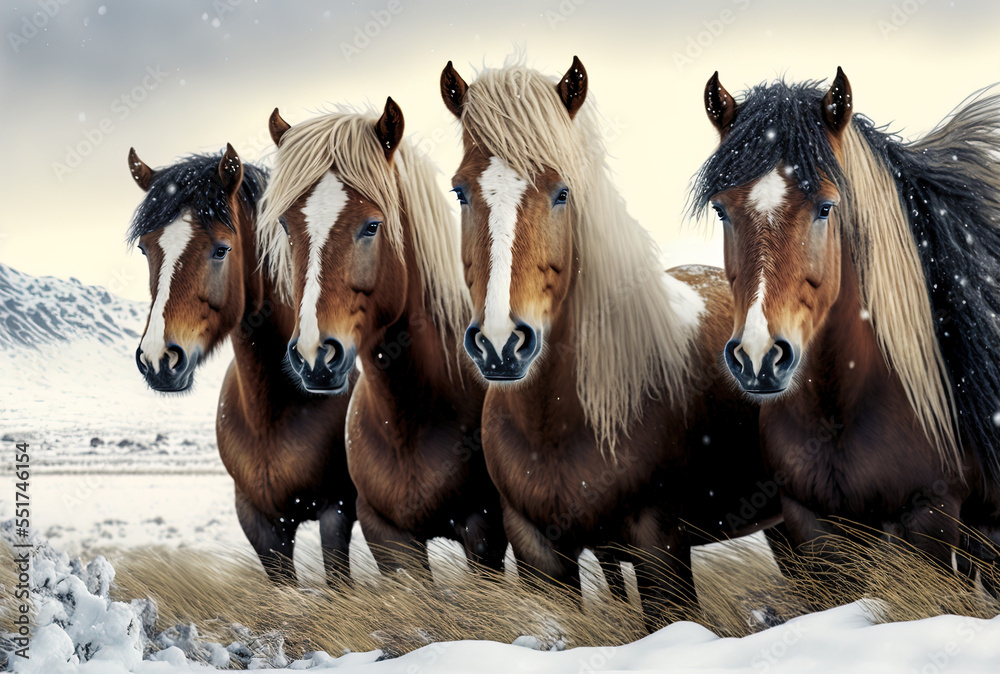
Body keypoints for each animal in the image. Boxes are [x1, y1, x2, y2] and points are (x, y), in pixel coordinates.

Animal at [127, 143, 358, 584]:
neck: (275, 410)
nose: (159, 359)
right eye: (146, 250)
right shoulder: (260, 523)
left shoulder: (336, 512)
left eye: (221, 249)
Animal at [440, 56, 788, 624]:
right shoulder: (536, 550)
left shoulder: (659, 544)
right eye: (460, 191)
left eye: (562, 192)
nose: (500, 344)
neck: (553, 427)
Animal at [692, 68, 1000, 588]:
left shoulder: (931, 518)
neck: (837, 414)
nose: (759, 357)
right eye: (721, 210)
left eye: (825, 208)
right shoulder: (812, 526)